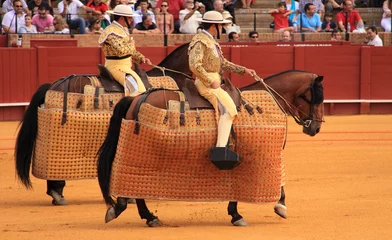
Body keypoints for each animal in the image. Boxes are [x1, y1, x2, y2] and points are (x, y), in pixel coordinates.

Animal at [98, 69, 324, 227]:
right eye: (316, 98)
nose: (316, 127)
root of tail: (136, 98)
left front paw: (236, 214)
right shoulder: (263, 155)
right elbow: (280, 182)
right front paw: (280, 206)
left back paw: (132, 211)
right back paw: (142, 214)